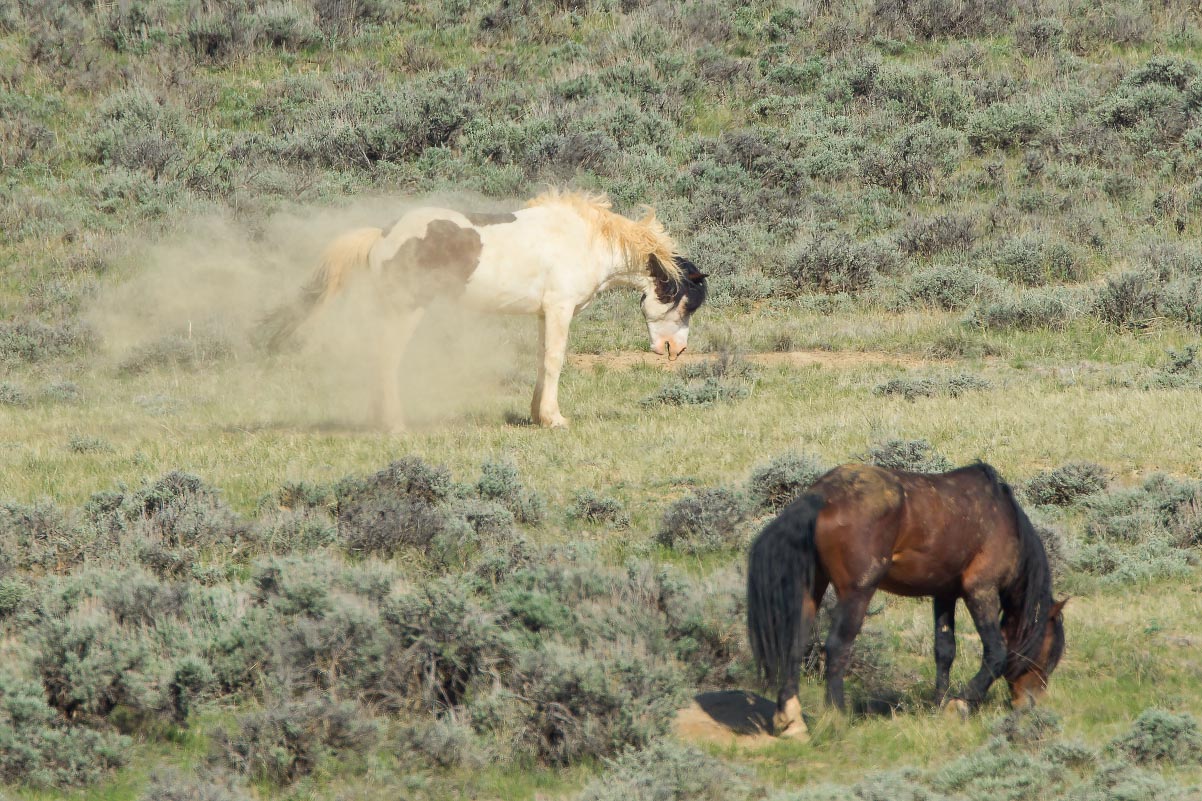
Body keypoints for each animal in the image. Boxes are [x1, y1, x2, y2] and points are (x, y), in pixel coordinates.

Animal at [265, 190, 701, 428]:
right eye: (683, 303)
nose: (675, 350)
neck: (585, 239)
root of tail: (383, 237)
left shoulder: (544, 315)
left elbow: (542, 359)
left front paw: (538, 416)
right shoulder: (560, 309)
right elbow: (555, 361)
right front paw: (555, 418)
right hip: (405, 312)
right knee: (386, 359)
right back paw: (394, 424)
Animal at [745, 459, 1067, 731]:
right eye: (1049, 652)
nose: (1030, 704)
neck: (1002, 517)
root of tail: (821, 495)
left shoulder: (944, 594)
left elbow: (944, 650)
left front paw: (940, 703)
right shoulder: (981, 589)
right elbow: (996, 652)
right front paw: (960, 704)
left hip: (812, 588)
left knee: (796, 642)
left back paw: (792, 720)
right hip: (858, 592)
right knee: (837, 646)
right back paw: (837, 714)